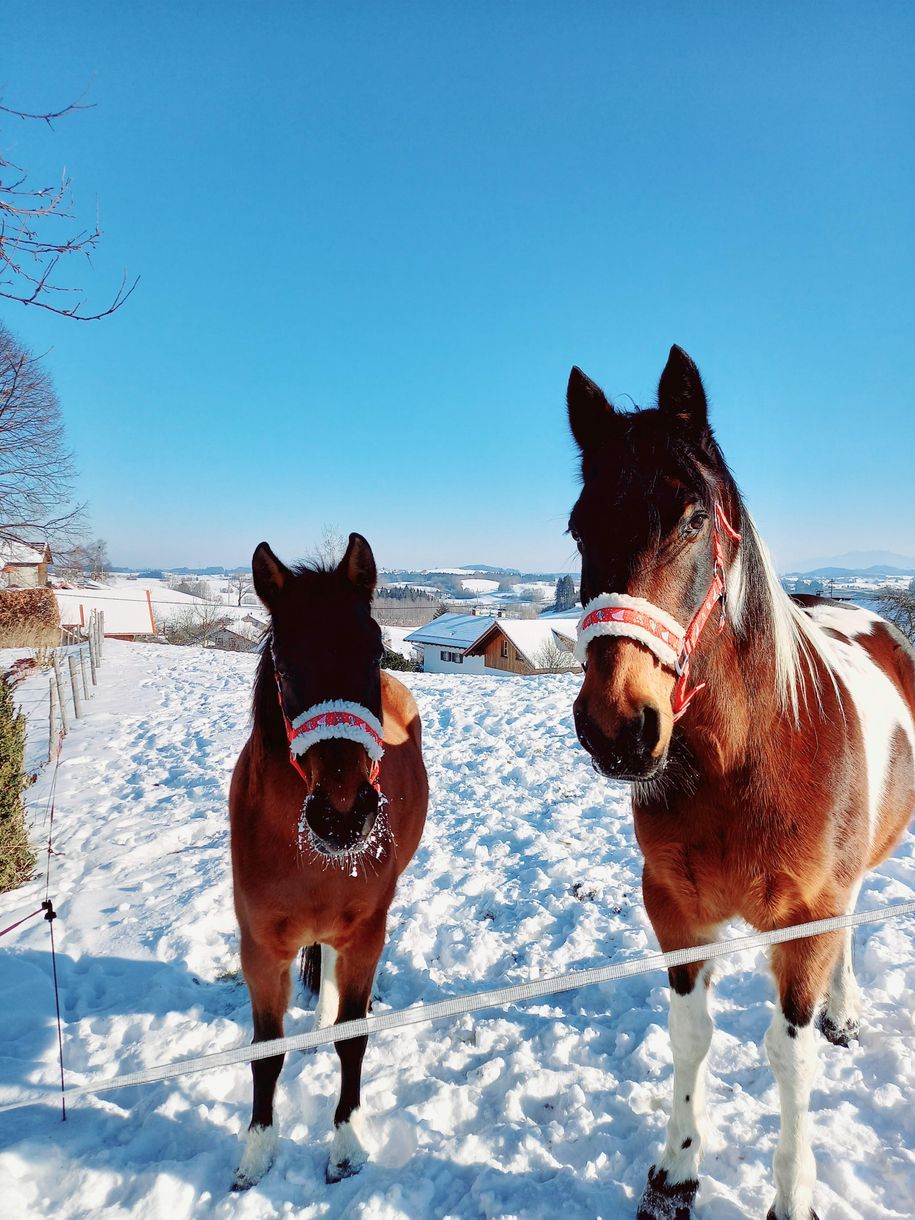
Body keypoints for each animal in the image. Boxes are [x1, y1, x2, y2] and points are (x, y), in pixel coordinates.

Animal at [229, 534, 429, 1190]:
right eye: (286, 667)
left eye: (372, 652)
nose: (343, 816)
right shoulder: (261, 951)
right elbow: (266, 1054)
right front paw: (257, 1153)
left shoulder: (364, 934)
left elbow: (353, 1038)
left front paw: (345, 1143)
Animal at [566, 344, 915, 1220]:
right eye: (579, 526)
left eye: (693, 518)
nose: (617, 726)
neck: (744, 765)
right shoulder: (677, 911)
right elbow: (691, 1036)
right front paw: (676, 1171)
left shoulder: (805, 924)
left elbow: (789, 1059)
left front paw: (792, 1192)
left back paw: (843, 1012)